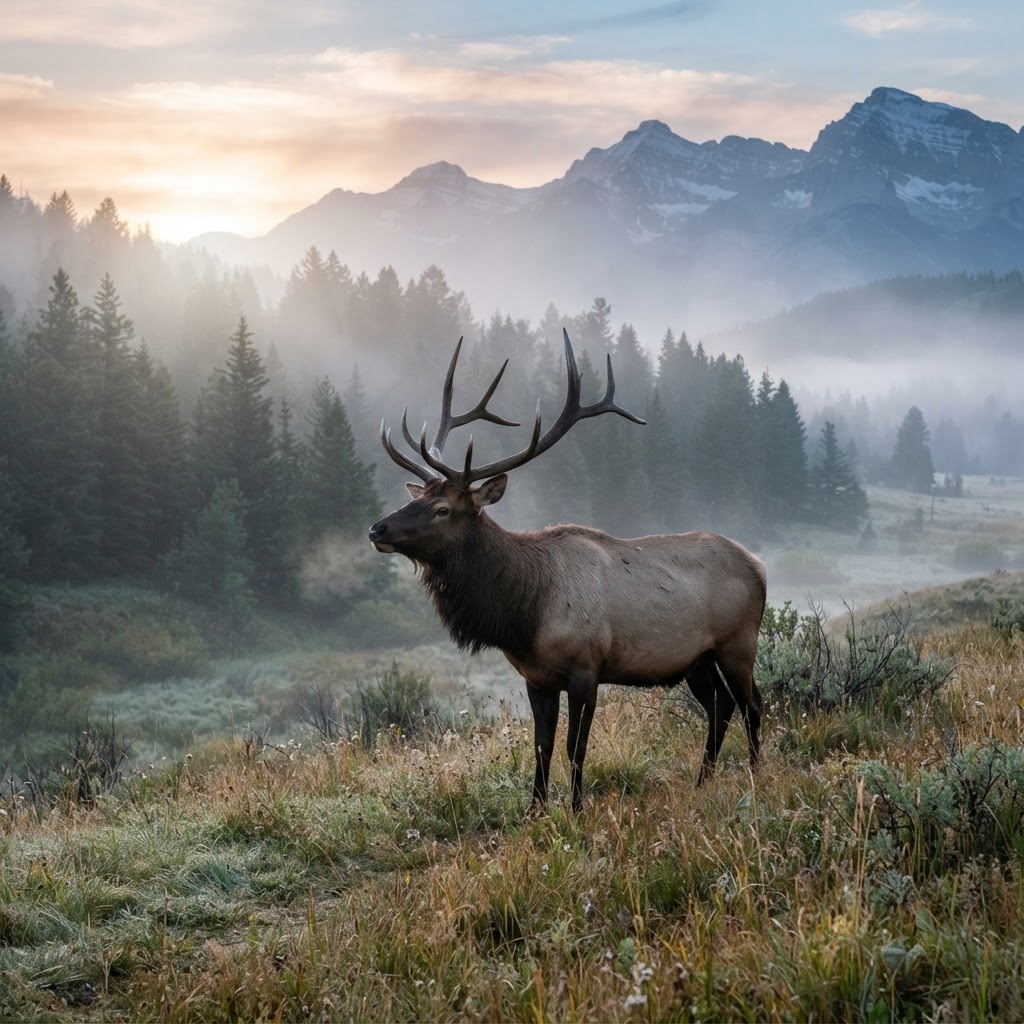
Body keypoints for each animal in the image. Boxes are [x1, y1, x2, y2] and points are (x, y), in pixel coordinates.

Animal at [368, 330, 766, 813]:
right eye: (417, 497)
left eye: (442, 509)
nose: (377, 528)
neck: (525, 614)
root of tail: (759, 566)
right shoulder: (537, 677)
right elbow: (543, 745)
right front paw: (534, 810)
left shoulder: (586, 666)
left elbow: (577, 745)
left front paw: (576, 809)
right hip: (697, 657)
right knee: (721, 706)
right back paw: (701, 782)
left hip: (738, 641)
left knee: (753, 703)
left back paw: (755, 775)